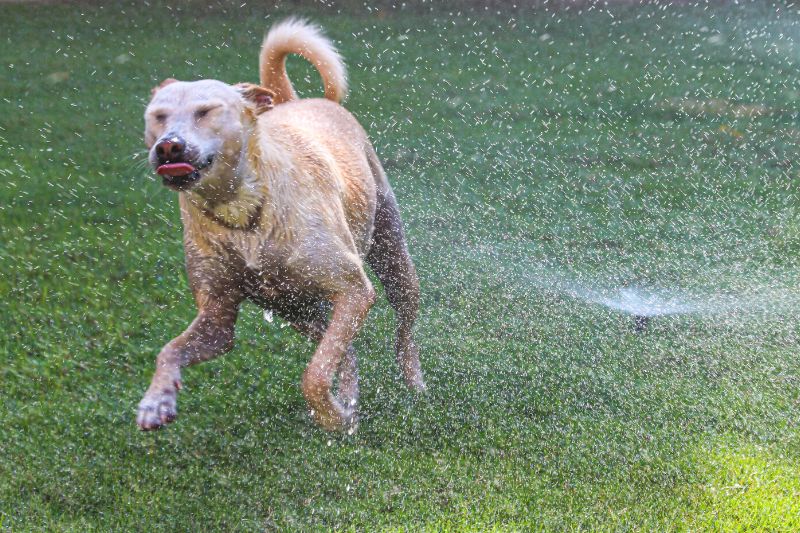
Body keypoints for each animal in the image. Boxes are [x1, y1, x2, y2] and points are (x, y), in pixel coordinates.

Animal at [138, 19, 424, 432]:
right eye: (158, 115)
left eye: (206, 111)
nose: (167, 147)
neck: (242, 213)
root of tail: (297, 103)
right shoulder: (217, 317)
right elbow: (170, 350)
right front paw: (156, 400)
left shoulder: (354, 290)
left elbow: (315, 375)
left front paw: (330, 416)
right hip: (297, 308)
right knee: (344, 350)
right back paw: (349, 400)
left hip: (391, 256)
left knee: (401, 327)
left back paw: (413, 382)